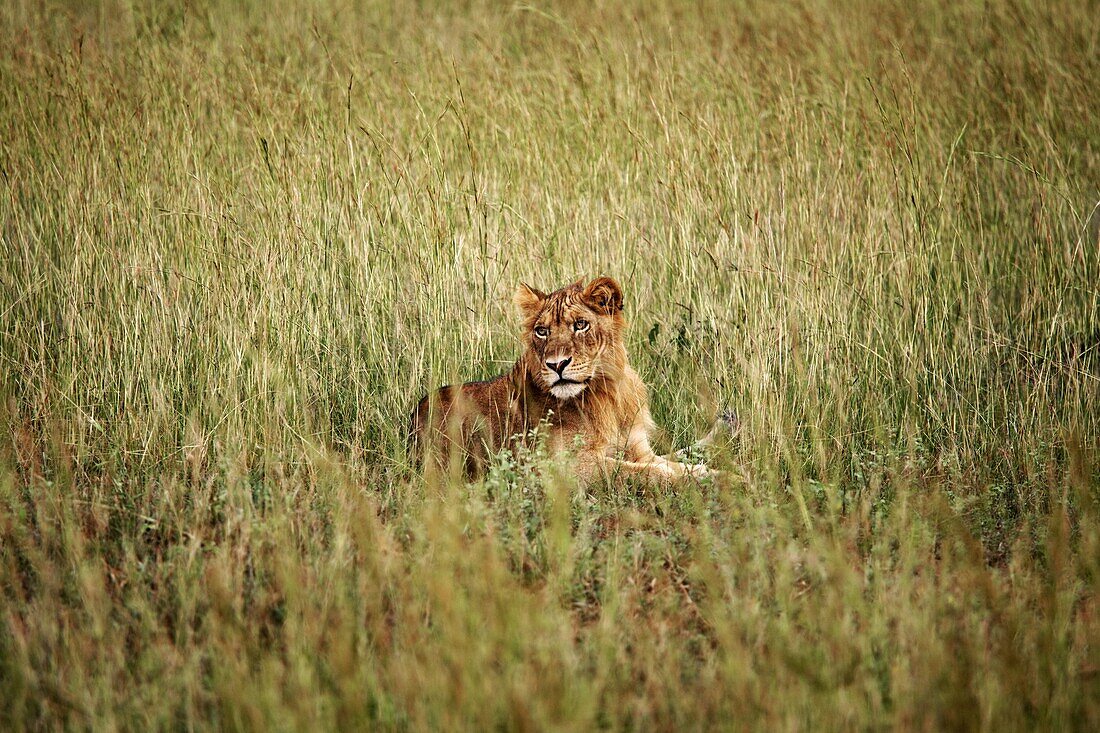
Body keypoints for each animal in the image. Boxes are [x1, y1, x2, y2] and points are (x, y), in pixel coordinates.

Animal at [409, 274, 734, 479]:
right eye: (542, 331)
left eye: (580, 325)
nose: (557, 365)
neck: (606, 393)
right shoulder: (566, 467)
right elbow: (648, 474)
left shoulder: (638, 449)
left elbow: (672, 465)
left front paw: (723, 475)